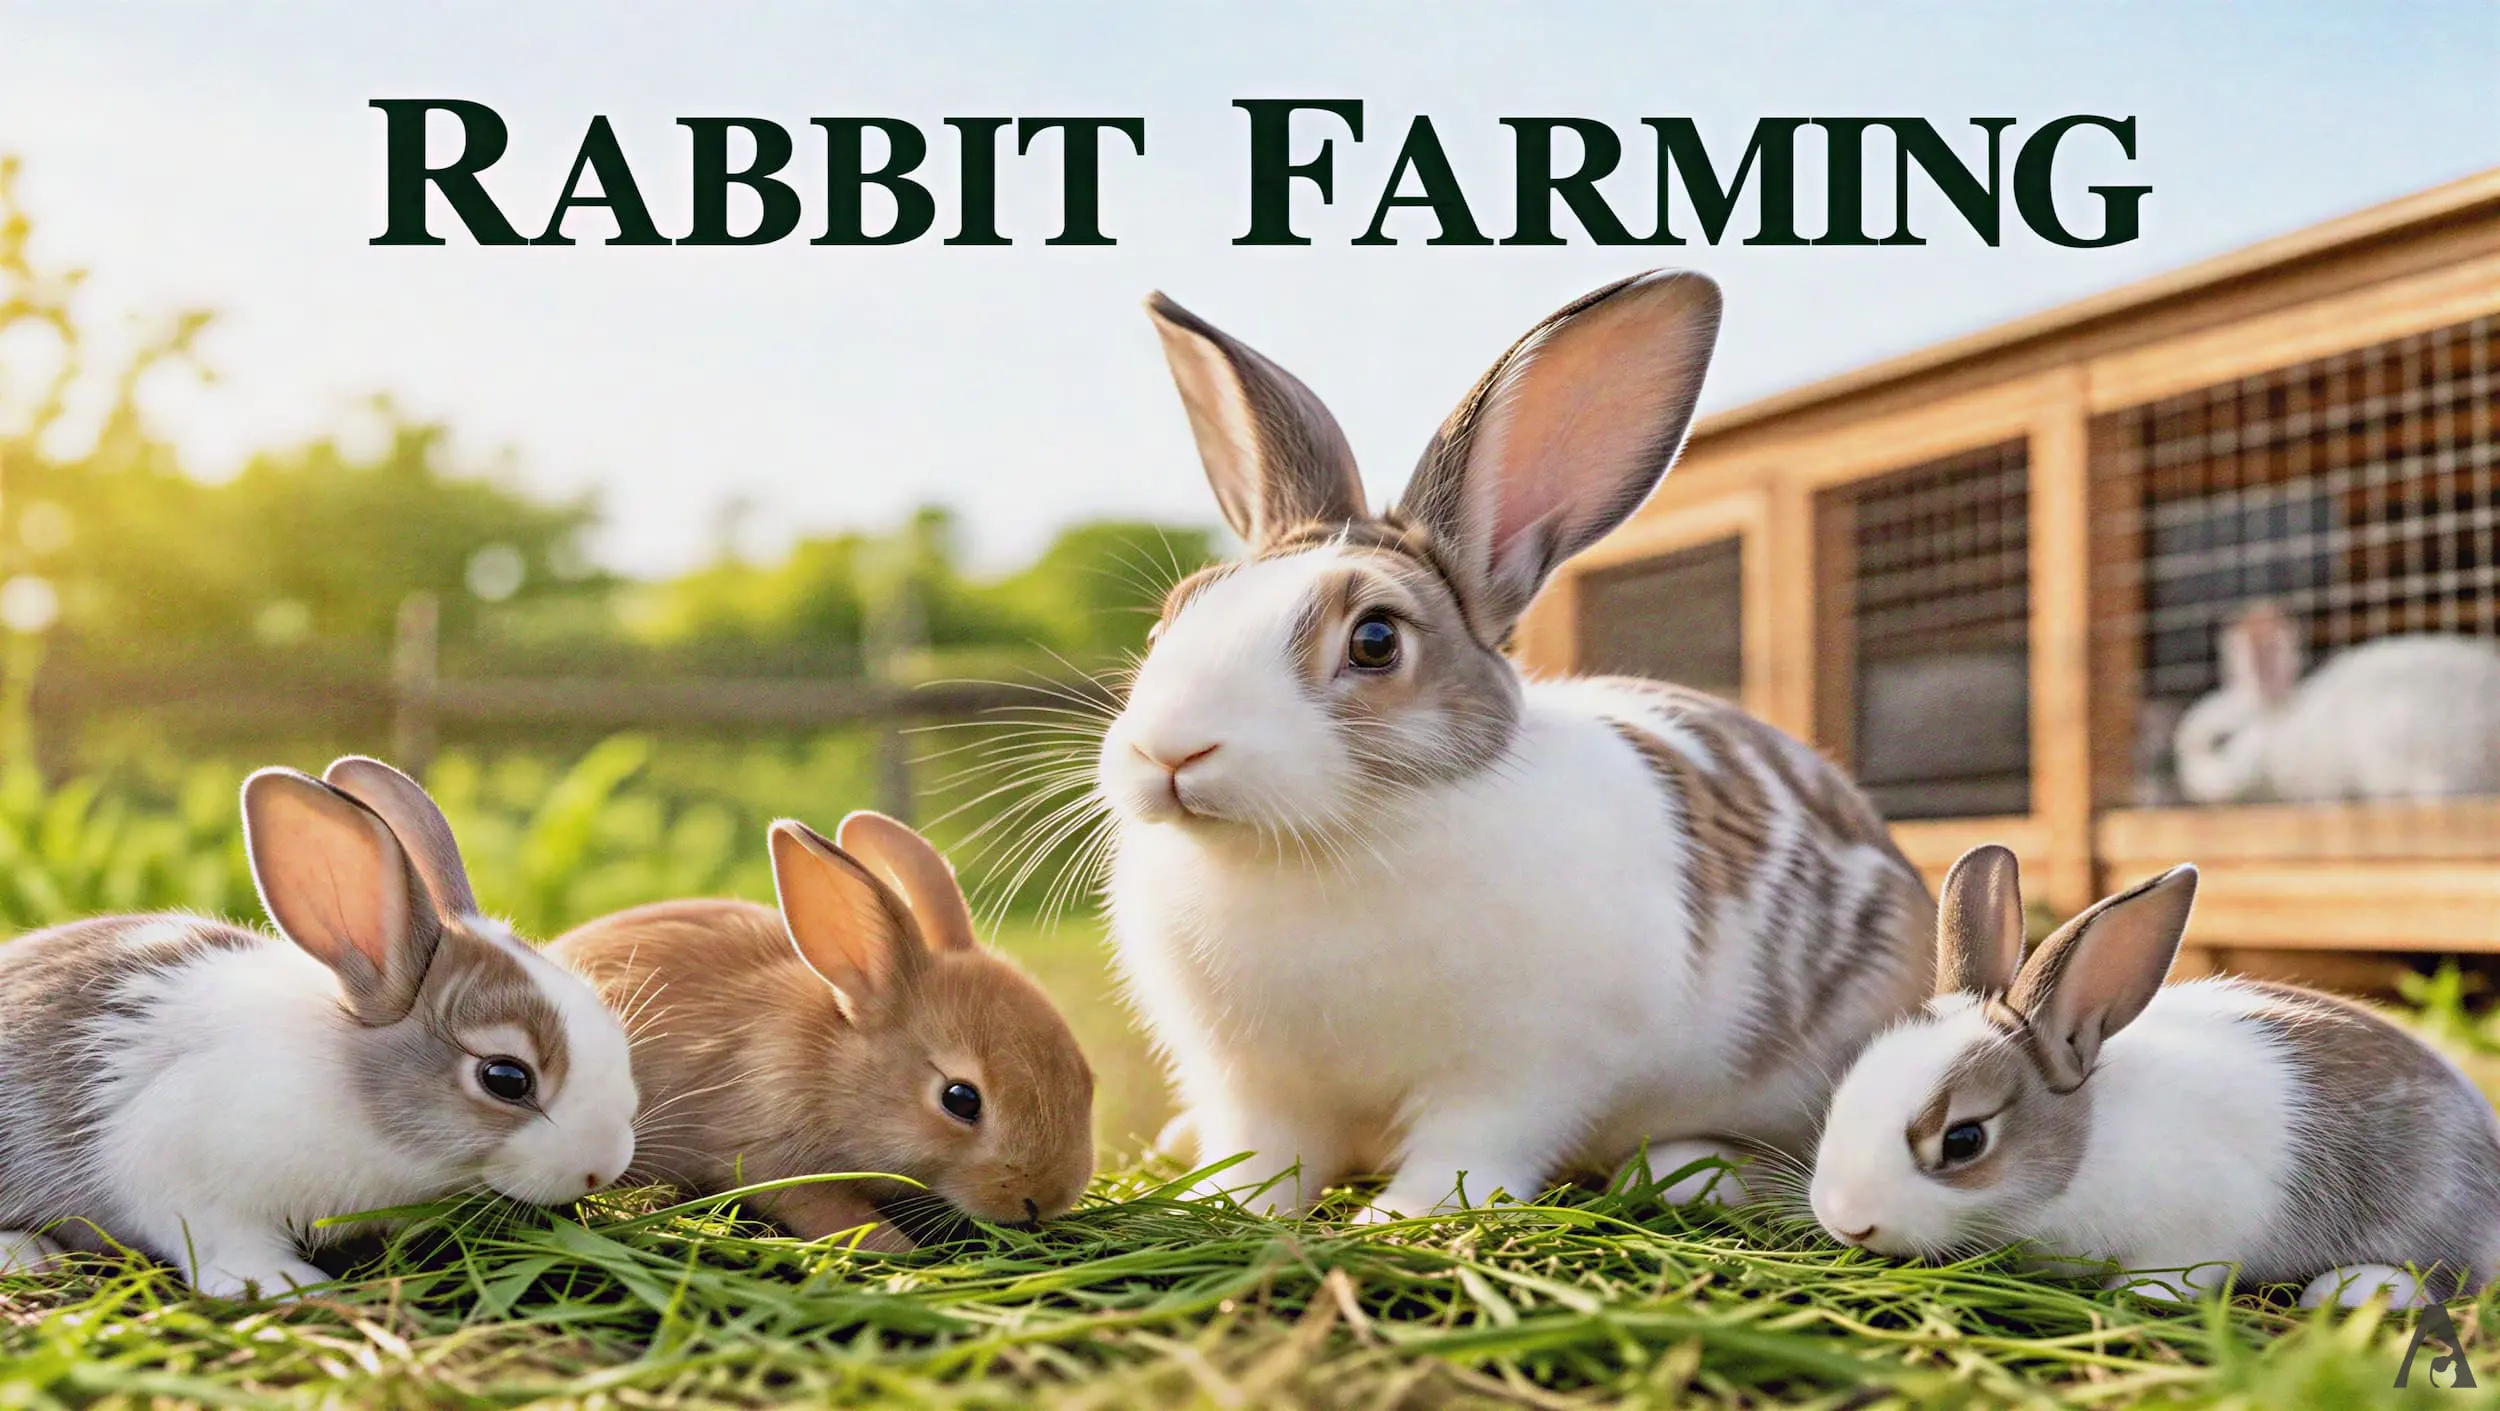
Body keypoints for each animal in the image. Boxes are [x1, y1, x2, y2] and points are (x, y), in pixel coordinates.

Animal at [0, 756, 639, 1298]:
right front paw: (291, 1285)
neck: (353, 1092)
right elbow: (227, 1245)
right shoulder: (191, 1180)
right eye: (506, 1078)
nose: (601, 1169)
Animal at [548, 812, 1095, 1252]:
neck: (835, 1070)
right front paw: (901, 1251)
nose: (1043, 1199)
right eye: (961, 1100)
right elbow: (838, 1217)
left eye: (1086, 1077)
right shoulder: (778, 1162)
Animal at [1095, 269, 1938, 1221]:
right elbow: (1263, 1158)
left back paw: (1685, 1171)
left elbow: (1468, 1149)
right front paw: (1220, 1205)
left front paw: (1401, 1216)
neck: (1308, 845)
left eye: (1376, 640)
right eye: (1169, 619)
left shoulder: (1516, 1074)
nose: (1170, 751)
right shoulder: (1256, 1086)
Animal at [1811, 844, 2500, 1308]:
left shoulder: (2197, 1230)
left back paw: (2356, 1291)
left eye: (1963, 1141)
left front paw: (2139, 1299)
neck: (2088, 1144)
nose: (1847, 1221)